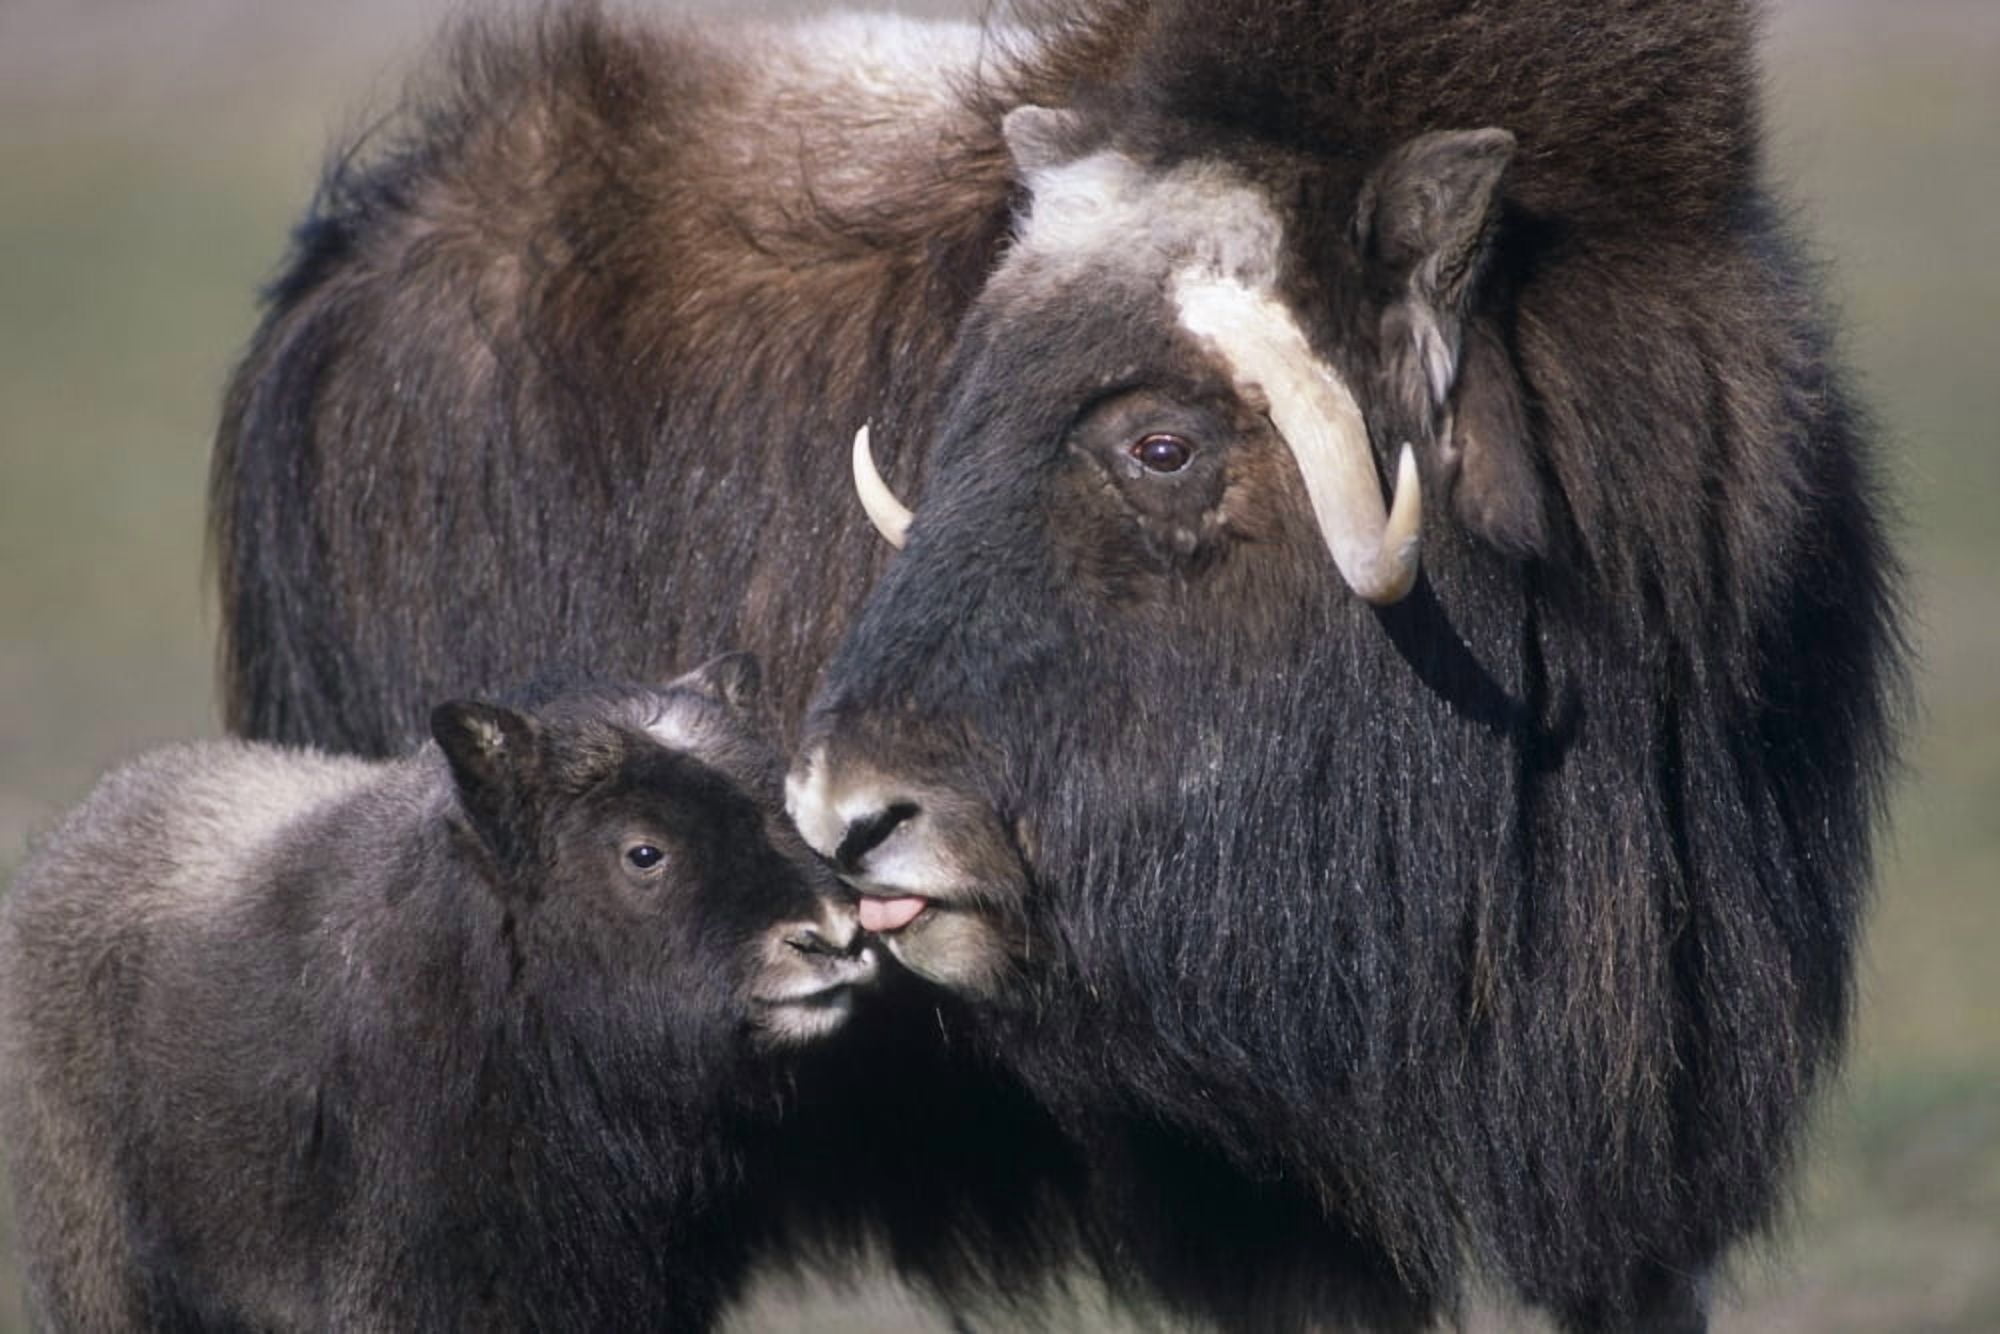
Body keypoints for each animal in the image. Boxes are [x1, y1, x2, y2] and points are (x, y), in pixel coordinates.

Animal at [206, 1, 1905, 1330]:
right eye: (961, 410)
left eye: (1160, 442)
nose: (845, 818)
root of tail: (366, 238)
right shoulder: (1263, 1190)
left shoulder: (1651, 1138)